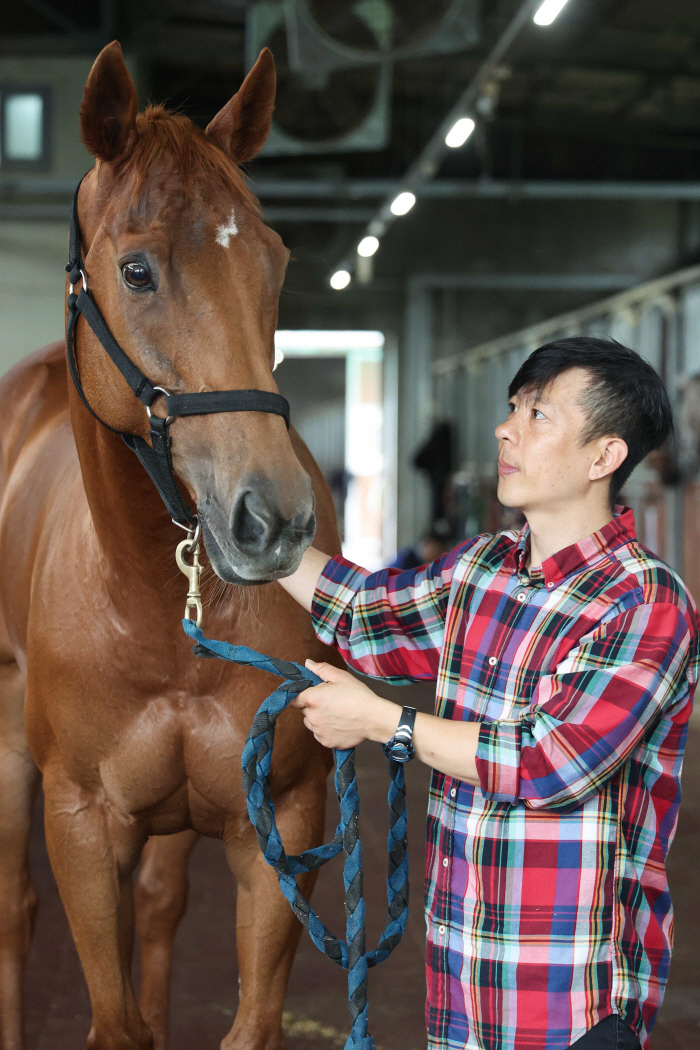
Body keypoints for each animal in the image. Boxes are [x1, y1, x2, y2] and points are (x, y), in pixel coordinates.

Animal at [0, 40, 342, 1050]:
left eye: (274, 259)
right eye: (139, 271)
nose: (273, 520)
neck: (152, 604)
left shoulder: (281, 821)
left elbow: (248, 1016)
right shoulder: (79, 824)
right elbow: (115, 1021)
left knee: (157, 904)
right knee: (16, 913)